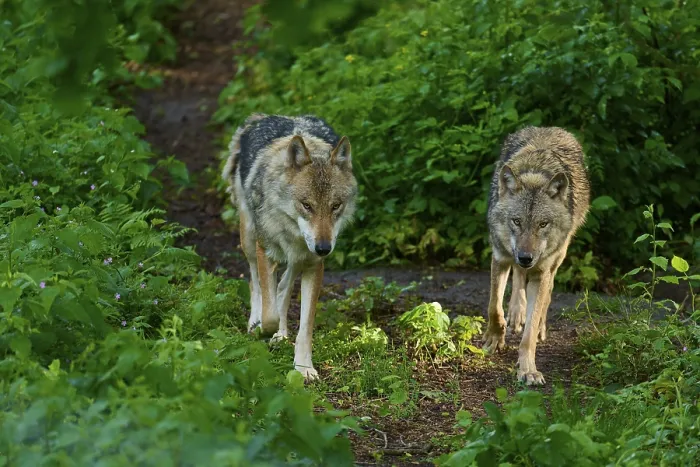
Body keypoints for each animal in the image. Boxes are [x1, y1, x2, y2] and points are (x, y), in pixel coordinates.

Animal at [222, 113, 358, 380]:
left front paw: (303, 367)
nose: (324, 248)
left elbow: (305, 327)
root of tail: (260, 117)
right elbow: (269, 314)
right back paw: (256, 324)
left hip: (298, 259)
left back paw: (281, 334)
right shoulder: (266, 252)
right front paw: (262, 329)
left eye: (335, 206)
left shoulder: (314, 265)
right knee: (255, 283)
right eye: (307, 205)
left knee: (283, 287)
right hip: (249, 239)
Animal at [481, 126, 590, 385]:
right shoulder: (500, 257)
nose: (526, 257)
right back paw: (516, 311)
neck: (534, 174)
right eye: (516, 221)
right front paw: (494, 338)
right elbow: (494, 307)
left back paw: (537, 323)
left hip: (558, 257)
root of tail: (550, 128)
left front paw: (528, 370)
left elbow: (528, 335)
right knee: (518, 280)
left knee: (546, 294)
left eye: (543, 224)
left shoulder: (541, 271)